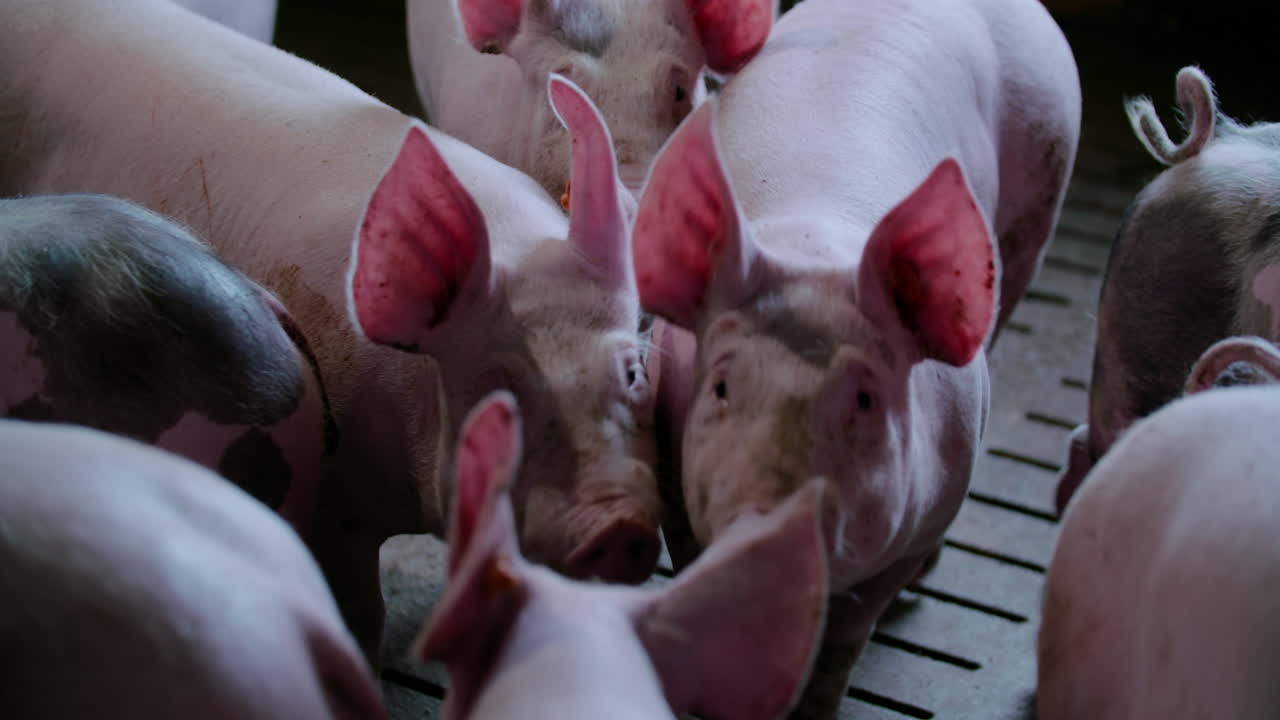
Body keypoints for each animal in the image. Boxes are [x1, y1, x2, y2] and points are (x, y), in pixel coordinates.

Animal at [630, 0, 1081, 715]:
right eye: (723, 387)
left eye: (865, 400)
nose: (766, 530)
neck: (815, 250)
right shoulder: (672, 461)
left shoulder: (930, 506)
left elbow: (848, 636)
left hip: (1041, 195)